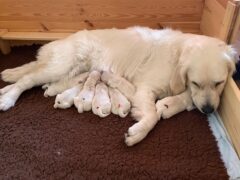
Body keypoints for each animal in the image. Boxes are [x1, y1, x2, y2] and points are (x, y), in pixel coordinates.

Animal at [0, 26, 236, 146]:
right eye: (196, 81)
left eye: (219, 83)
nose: (208, 110)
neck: (177, 54)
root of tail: (62, 41)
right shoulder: (145, 88)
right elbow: (153, 115)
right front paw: (138, 132)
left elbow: (186, 98)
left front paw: (170, 104)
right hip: (61, 65)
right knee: (27, 80)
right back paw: (8, 98)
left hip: (65, 70)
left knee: (31, 72)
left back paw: (6, 83)